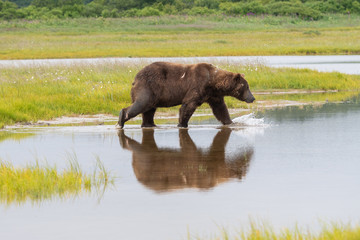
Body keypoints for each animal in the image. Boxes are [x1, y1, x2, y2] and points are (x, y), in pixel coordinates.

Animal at [116, 62, 255, 128]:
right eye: (247, 87)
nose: (252, 98)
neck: (213, 82)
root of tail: (135, 78)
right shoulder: (198, 85)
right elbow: (188, 105)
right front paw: (182, 124)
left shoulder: (212, 95)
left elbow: (220, 109)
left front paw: (231, 122)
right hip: (148, 87)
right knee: (142, 103)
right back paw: (121, 120)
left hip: (154, 93)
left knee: (149, 110)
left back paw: (150, 124)